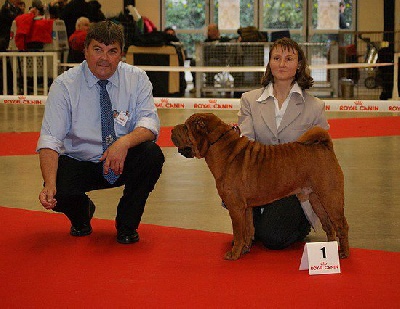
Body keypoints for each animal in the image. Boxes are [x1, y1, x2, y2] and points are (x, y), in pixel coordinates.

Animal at [170, 112, 348, 258]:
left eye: (185, 127)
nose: (171, 130)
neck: (220, 148)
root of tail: (324, 146)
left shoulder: (236, 208)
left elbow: (238, 232)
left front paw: (233, 254)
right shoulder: (247, 208)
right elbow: (248, 230)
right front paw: (245, 250)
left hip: (330, 197)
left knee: (341, 225)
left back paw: (343, 254)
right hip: (316, 199)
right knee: (328, 225)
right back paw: (329, 248)